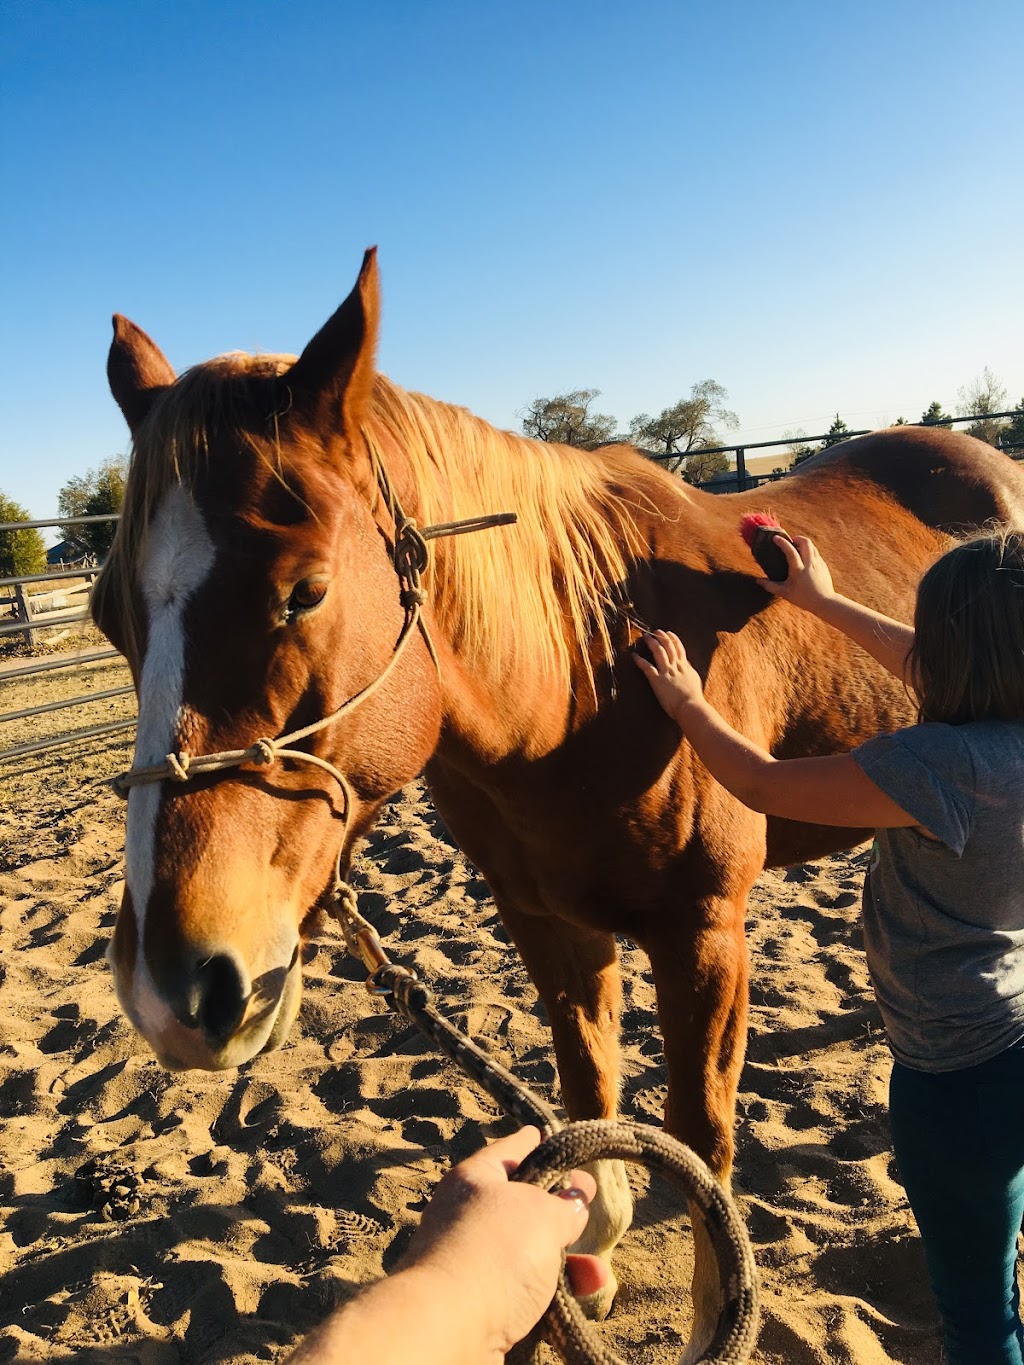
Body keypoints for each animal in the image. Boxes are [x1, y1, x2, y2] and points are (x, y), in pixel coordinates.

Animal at [92, 251, 1024, 1359]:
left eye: (304, 591)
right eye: (105, 613)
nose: (172, 990)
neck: (581, 680)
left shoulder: (704, 934)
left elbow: (700, 1141)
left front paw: (711, 1312)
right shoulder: (548, 923)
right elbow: (587, 1093)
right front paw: (581, 1261)